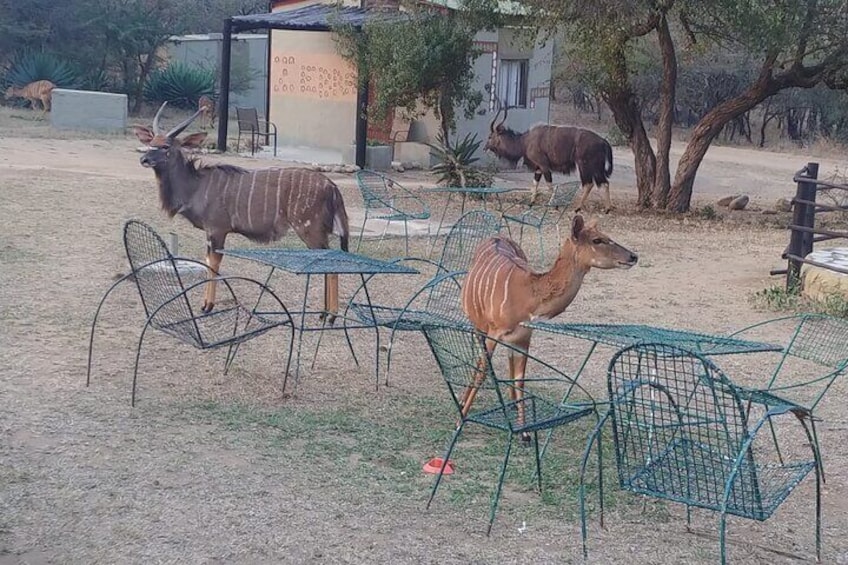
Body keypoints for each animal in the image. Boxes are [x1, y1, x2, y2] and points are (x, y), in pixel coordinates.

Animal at [132, 102, 350, 320]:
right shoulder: (211, 233)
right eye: (151, 142)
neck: (196, 186)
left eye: (166, 146)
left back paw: (331, 315)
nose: (144, 159)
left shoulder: (217, 230)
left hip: (309, 229)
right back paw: (323, 314)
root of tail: (331, 187)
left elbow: (214, 263)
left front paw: (208, 306)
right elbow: (208, 260)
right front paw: (204, 304)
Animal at [461, 215, 638, 441]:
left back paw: (511, 404)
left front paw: (525, 433)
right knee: (479, 362)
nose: (633, 256)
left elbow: (520, 379)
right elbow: (483, 372)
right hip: (478, 326)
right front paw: (461, 418)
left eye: (606, 235)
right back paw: (465, 400)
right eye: (597, 240)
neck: (529, 296)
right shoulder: (494, 331)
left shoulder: (524, 336)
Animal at [485, 104, 614, 212]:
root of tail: (603, 141)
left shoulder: (544, 166)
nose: (485, 147)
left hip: (585, 166)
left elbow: (549, 186)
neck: (525, 141)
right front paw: (531, 202)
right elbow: (535, 184)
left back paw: (578, 207)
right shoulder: (538, 168)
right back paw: (607, 209)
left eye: (490, 136)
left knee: (589, 184)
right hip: (596, 168)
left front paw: (553, 205)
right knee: (605, 183)